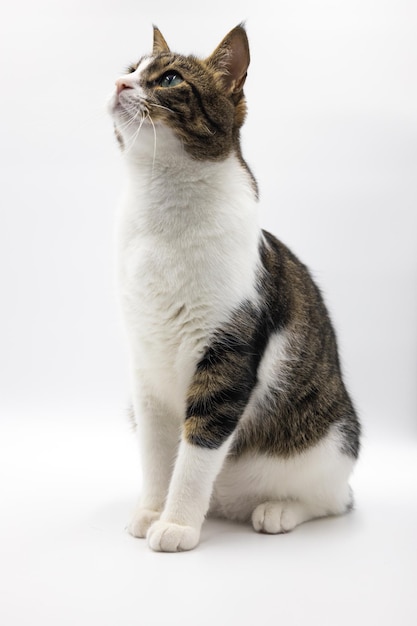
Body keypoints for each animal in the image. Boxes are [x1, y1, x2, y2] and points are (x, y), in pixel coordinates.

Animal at [109, 24, 360, 552]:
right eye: (130, 69)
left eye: (168, 78)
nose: (120, 84)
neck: (164, 203)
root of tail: (229, 502)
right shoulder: (144, 362)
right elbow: (157, 452)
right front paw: (152, 510)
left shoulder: (227, 357)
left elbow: (198, 444)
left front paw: (178, 524)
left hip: (330, 444)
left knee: (332, 501)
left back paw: (278, 510)